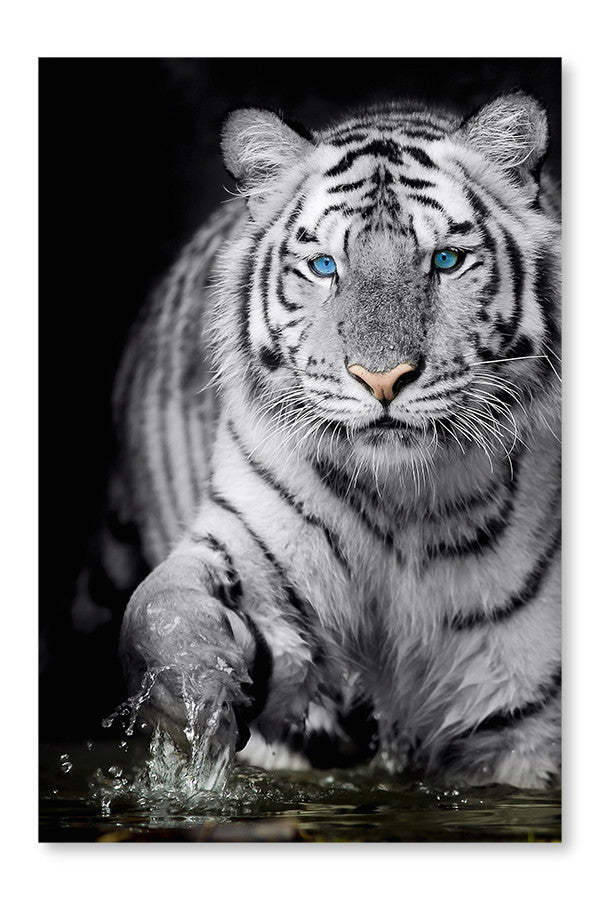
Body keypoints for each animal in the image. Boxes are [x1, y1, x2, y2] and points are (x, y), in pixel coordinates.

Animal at [113, 92, 561, 789]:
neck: (403, 503)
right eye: (325, 267)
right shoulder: (249, 548)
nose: (382, 379)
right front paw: (199, 692)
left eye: (445, 261)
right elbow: (160, 610)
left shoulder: (523, 722)